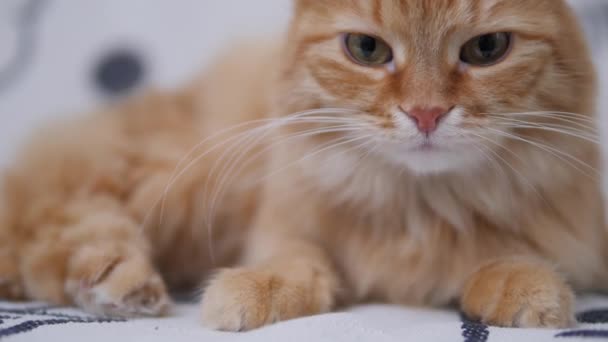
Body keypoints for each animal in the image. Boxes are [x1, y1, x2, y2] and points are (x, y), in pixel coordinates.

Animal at [1, 0, 608, 332]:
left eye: (487, 50)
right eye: (366, 50)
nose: (426, 113)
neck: (417, 206)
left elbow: (504, 257)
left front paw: (527, 291)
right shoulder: (282, 224)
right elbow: (297, 263)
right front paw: (248, 293)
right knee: (48, 228)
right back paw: (123, 287)